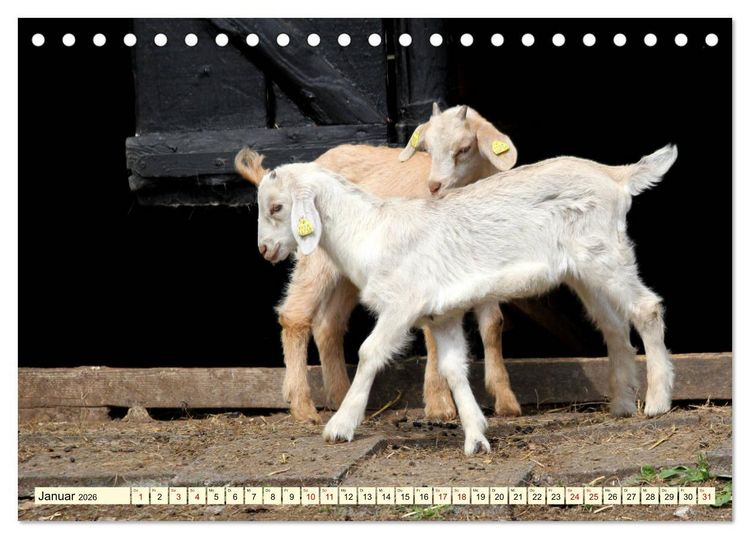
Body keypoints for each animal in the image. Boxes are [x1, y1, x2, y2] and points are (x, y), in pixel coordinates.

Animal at [236, 104, 521, 424]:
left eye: (464, 148)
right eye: (427, 149)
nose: (435, 187)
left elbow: (493, 325)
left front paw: (506, 400)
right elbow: (433, 333)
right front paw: (439, 404)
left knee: (329, 324)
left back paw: (341, 396)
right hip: (315, 256)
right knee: (294, 315)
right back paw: (303, 406)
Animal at [255, 145, 677, 455]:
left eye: (276, 207)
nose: (265, 249)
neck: (372, 232)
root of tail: (617, 176)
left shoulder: (403, 303)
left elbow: (370, 352)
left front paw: (340, 426)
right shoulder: (442, 315)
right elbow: (453, 369)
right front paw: (476, 437)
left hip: (606, 254)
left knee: (647, 308)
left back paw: (657, 401)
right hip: (584, 270)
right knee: (615, 326)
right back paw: (622, 403)